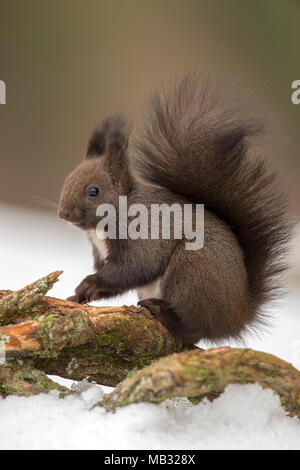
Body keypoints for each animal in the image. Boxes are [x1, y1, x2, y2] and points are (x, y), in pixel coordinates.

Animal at [58, 74, 290, 346]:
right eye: (67, 180)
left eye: (93, 191)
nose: (63, 213)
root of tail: (238, 316)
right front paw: (78, 297)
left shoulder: (143, 236)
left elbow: (134, 268)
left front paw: (90, 282)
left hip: (192, 268)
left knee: (195, 327)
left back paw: (164, 314)